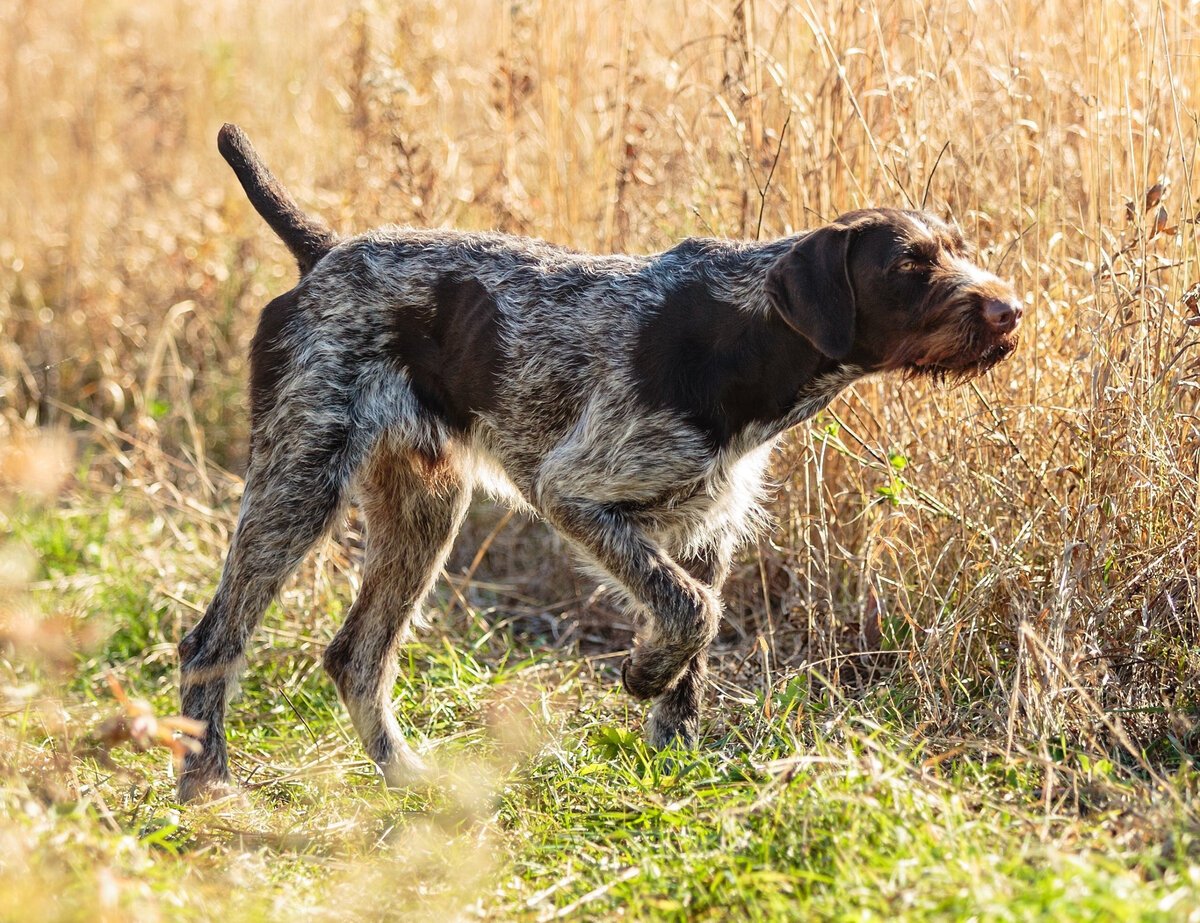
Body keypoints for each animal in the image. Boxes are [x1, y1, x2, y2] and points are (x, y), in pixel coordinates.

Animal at [177, 122, 1022, 796]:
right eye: (908, 266)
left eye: (958, 250)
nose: (1013, 309)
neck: (746, 339)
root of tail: (322, 255)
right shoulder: (576, 493)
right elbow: (692, 611)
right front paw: (644, 671)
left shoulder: (705, 529)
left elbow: (694, 649)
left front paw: (673, 757)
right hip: (300, 479)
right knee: (212, 641)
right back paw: (207, 782)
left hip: (422, 507)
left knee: (357, 654)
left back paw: (406, 776)